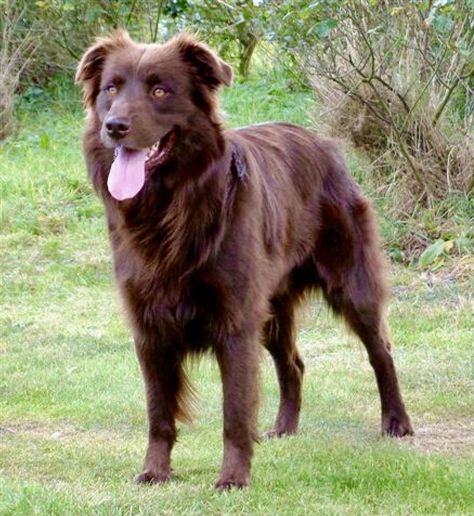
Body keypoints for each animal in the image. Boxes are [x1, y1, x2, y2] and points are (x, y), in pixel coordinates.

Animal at [76, 30, 412, 490]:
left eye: (160, 90)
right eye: (111, 89)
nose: (115, 127)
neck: (171, 207)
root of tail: (324, 144)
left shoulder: (235, 324)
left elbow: (234, 411)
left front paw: (233, 478)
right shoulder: (149, 327)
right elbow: (158, 412)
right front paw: (156, 471)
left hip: (351, 286)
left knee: (382, 352)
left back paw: (397, 422)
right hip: (270, 310)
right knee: (293, 364)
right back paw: (284, 429)